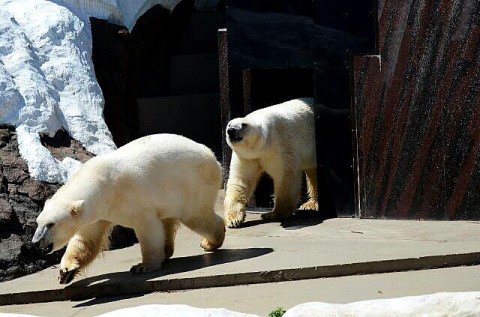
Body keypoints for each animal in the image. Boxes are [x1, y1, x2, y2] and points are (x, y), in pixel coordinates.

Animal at [33, 133, 225, 284]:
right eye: (38, 222)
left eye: (51, 224)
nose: (36, 242)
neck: (101, 184)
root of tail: (212, 155)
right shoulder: (96, 213)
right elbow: (87, 240)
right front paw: (65, 272)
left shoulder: (131, 196)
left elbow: (148, 228)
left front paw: (142, 266)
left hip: (193, 184)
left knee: (197, 216)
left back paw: (210, 242)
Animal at [225, 97, 318, 227]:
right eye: (229, 124)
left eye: (244, 124)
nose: (231, 130)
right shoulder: (246, 157)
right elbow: (241, 181)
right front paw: (233, 219)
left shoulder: (281, 145)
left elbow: (285, 176)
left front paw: (273, 214)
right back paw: (310, 204)